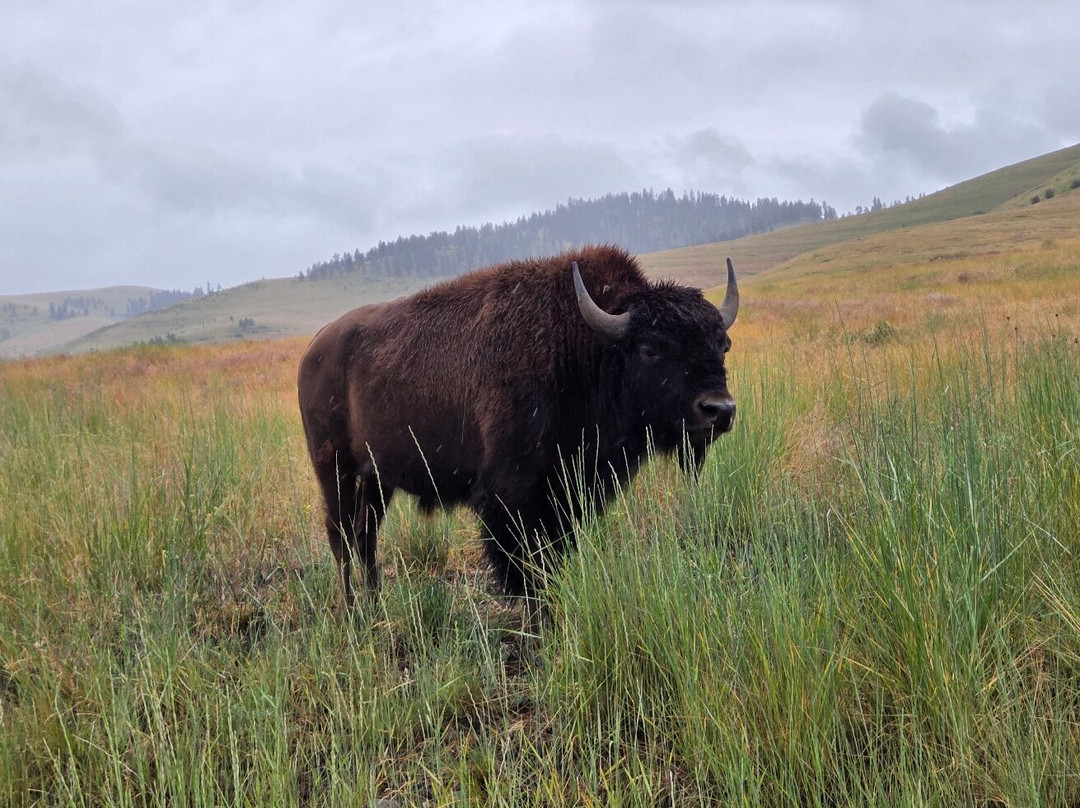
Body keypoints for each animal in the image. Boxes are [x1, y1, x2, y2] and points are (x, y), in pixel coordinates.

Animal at [298, 245, 738, 606]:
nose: (719, 409)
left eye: (722, 346)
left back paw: (376, 604)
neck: (584, 348)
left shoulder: (567, 495)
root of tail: (314, 348)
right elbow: (524, 570)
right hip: (334, 467)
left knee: (365, 534)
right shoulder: (508, 498)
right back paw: (353, 612)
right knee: (341, 535)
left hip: (378, 477)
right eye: (649, 349)